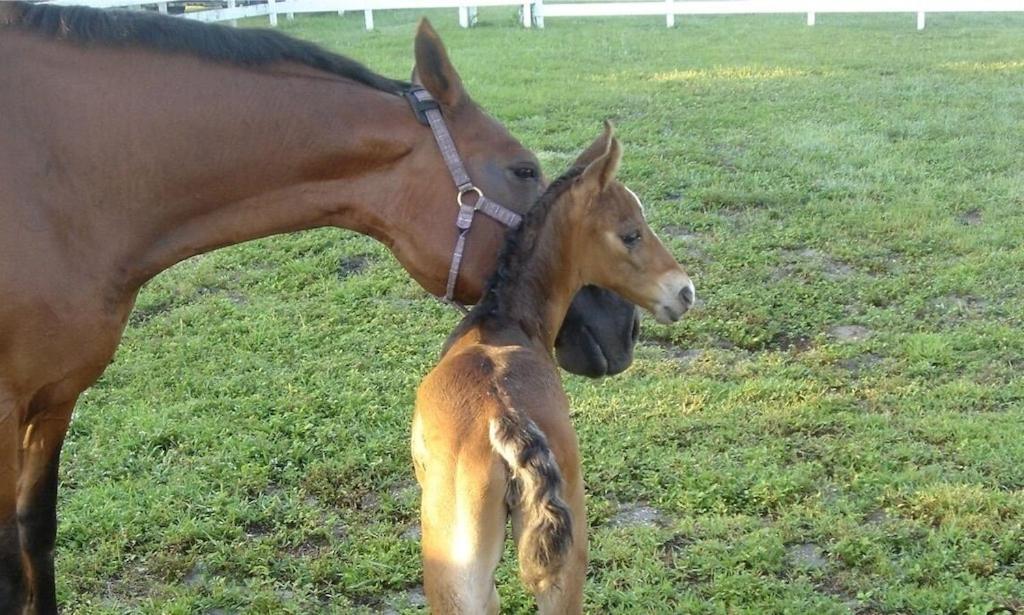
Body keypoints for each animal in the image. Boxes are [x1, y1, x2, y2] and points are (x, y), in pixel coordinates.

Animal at [411, 123, 695, 614]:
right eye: (631, 234)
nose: (684, 292)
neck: (501, 322)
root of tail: (504, 418)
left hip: (455, 569)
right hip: (565, 560)